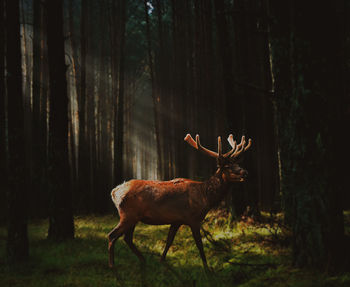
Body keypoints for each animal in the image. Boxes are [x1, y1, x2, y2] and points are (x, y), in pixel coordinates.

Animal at [107, 134, 252, 272]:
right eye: (227, 166)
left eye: (238, 164)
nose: (245, 173)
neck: (205, 196)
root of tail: (114, 192)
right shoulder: (193, 219)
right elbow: (200, 245)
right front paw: (207, 270)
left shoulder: (176, 221)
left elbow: (169, 242)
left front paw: (162, 261)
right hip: (128, 215)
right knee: (112, 235)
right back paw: (113, 266)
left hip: (133, 217)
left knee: (127, 238)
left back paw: (143, 260)